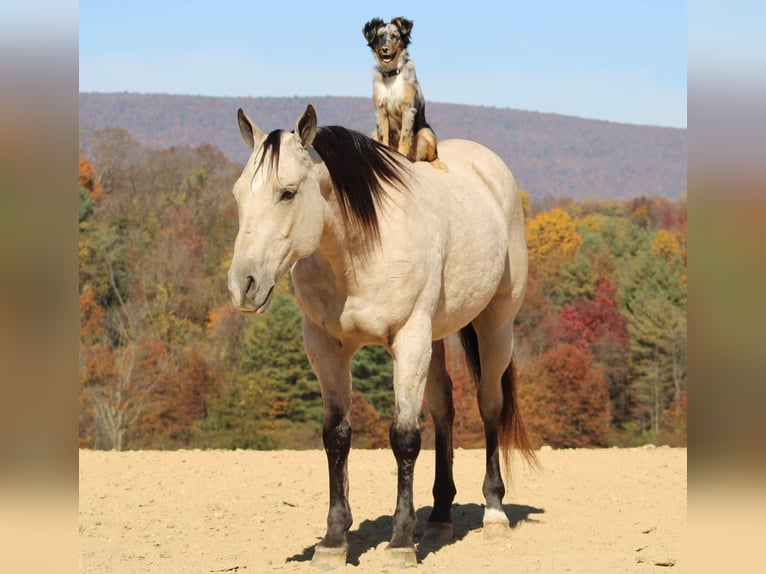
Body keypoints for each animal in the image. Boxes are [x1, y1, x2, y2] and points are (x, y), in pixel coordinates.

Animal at [230, 106, 536, 568]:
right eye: (237, 196)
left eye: (287, 193)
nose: (243, 286)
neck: (358, 252)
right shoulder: (326, 349)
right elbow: (336, 437)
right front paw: (333, 541)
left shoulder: (408, 341)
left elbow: (404, 438)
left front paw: (400, 543)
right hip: (436, 338)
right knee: (443, 409)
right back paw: (440, 515)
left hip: (494, 326)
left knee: (489, 406)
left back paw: (494, 512)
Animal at [364, 16, 448, 171]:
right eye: (379, 37)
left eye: (394, 36)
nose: (385, 49)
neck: (391, 74)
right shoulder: (380, 110)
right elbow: (383, 138)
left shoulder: (408, 109)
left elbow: (404, 138)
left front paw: (401, 158)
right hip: (373, 133)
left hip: (426, 132)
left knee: (431, 156)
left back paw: (438, 164)